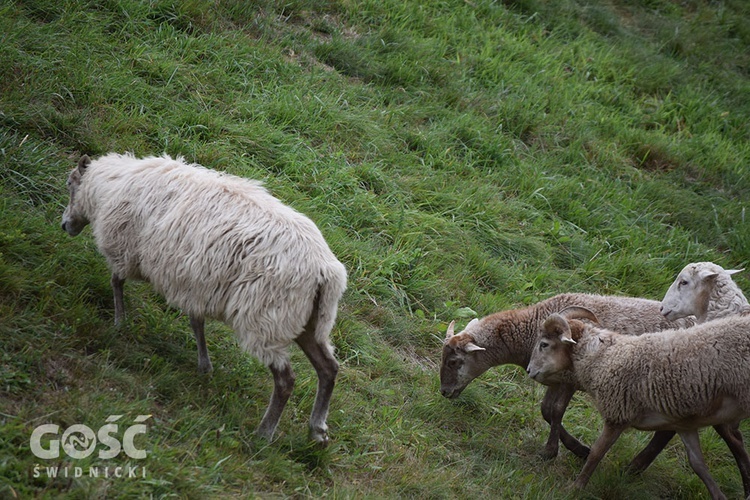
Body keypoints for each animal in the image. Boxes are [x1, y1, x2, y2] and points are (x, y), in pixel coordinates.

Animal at [61, 153, 350, 446]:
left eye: (70, 183)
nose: (64, 225)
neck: (108, 186)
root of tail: (326, 271)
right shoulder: (194, 283)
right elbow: (196, 323)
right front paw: (205, 366)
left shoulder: (126, 250)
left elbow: (116, 282)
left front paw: (119, 323)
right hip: (306, 321)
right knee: (328, 368)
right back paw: (317, 430)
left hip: (265, 318)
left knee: (286, 380)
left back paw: (264, 433)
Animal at [440, 292, 700, 462]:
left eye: (454, 362)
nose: (444, 392)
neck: (528, 332)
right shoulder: (554, 380)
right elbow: (546, 411)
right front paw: (575, 449)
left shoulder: (569, 380)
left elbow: (555, 412)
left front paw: (555, 451)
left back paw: (635, 467)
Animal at [528, 308, 750, 500]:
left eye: (544, 344)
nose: (529, 371)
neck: (602, 357)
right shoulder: (683, 423)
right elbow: (698, 464)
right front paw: (719, 496)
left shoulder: (617, 413)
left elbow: (597, 452)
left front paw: (575, 488)